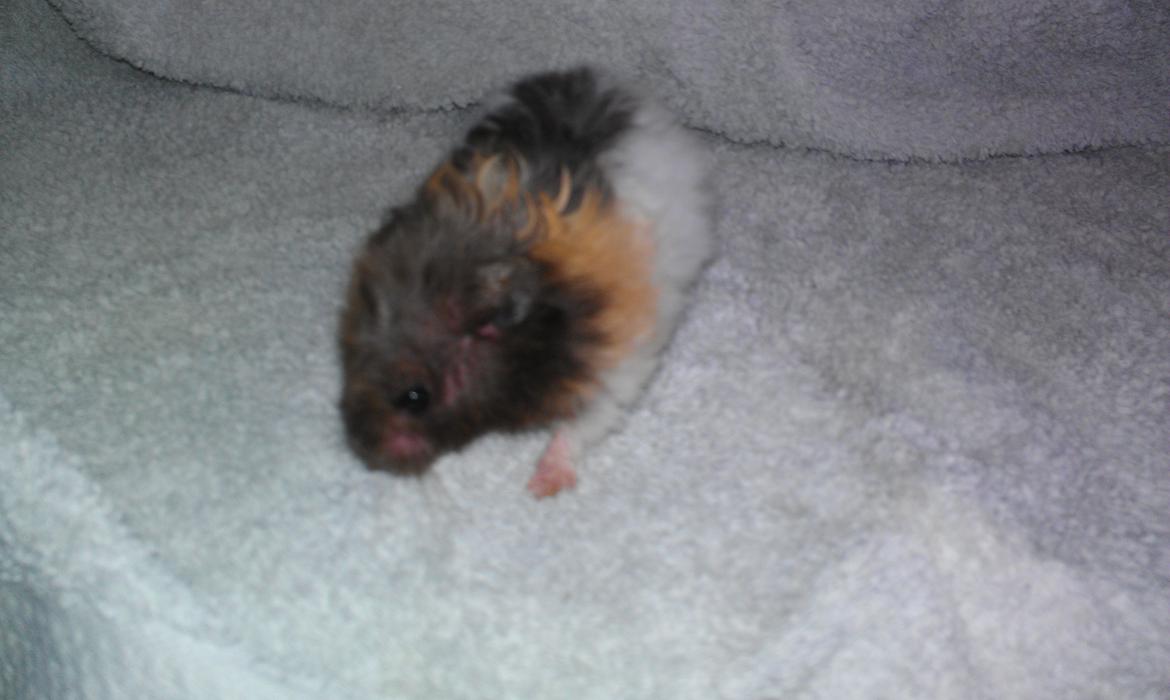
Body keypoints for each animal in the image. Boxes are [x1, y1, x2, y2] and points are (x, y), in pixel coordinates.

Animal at [338, 67, 712, 497]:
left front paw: (541, 486)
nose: (365, 453)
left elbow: (580, 426)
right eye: (346, 357)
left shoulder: (614, 368)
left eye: (415, 397)